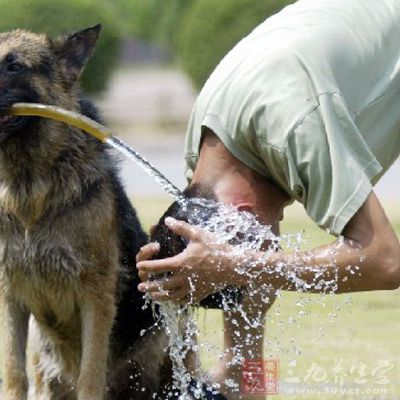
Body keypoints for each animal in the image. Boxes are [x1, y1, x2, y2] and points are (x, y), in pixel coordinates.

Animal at [0, 25, 172, 400]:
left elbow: (90, 376)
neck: (29, 184)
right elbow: (13, 373)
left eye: (14, 66)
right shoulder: (10, 297)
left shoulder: (95, 295)